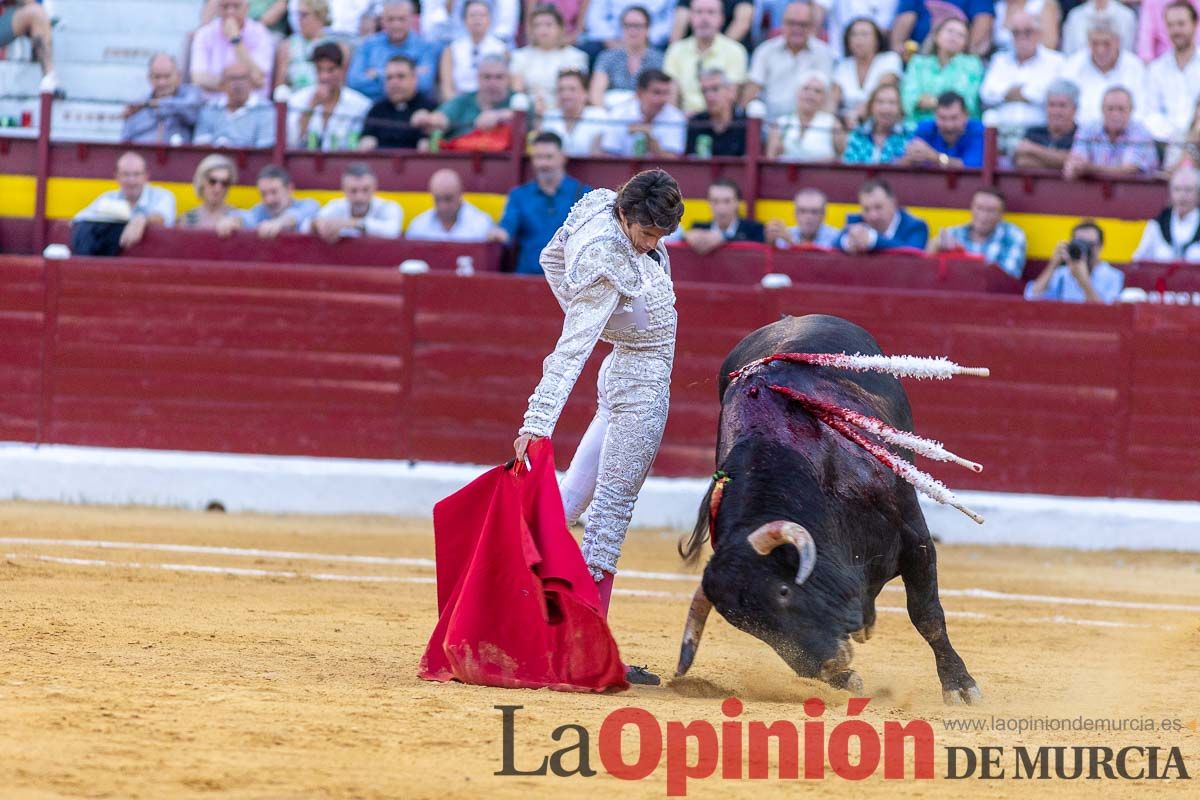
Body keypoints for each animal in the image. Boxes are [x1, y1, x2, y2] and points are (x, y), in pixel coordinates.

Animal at [681, 316, 979, 705]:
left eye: (783, 592)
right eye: (746, 625)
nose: (826, 665)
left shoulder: (916, 539)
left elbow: (926, 615)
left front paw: (959, 685)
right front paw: (845, 679)